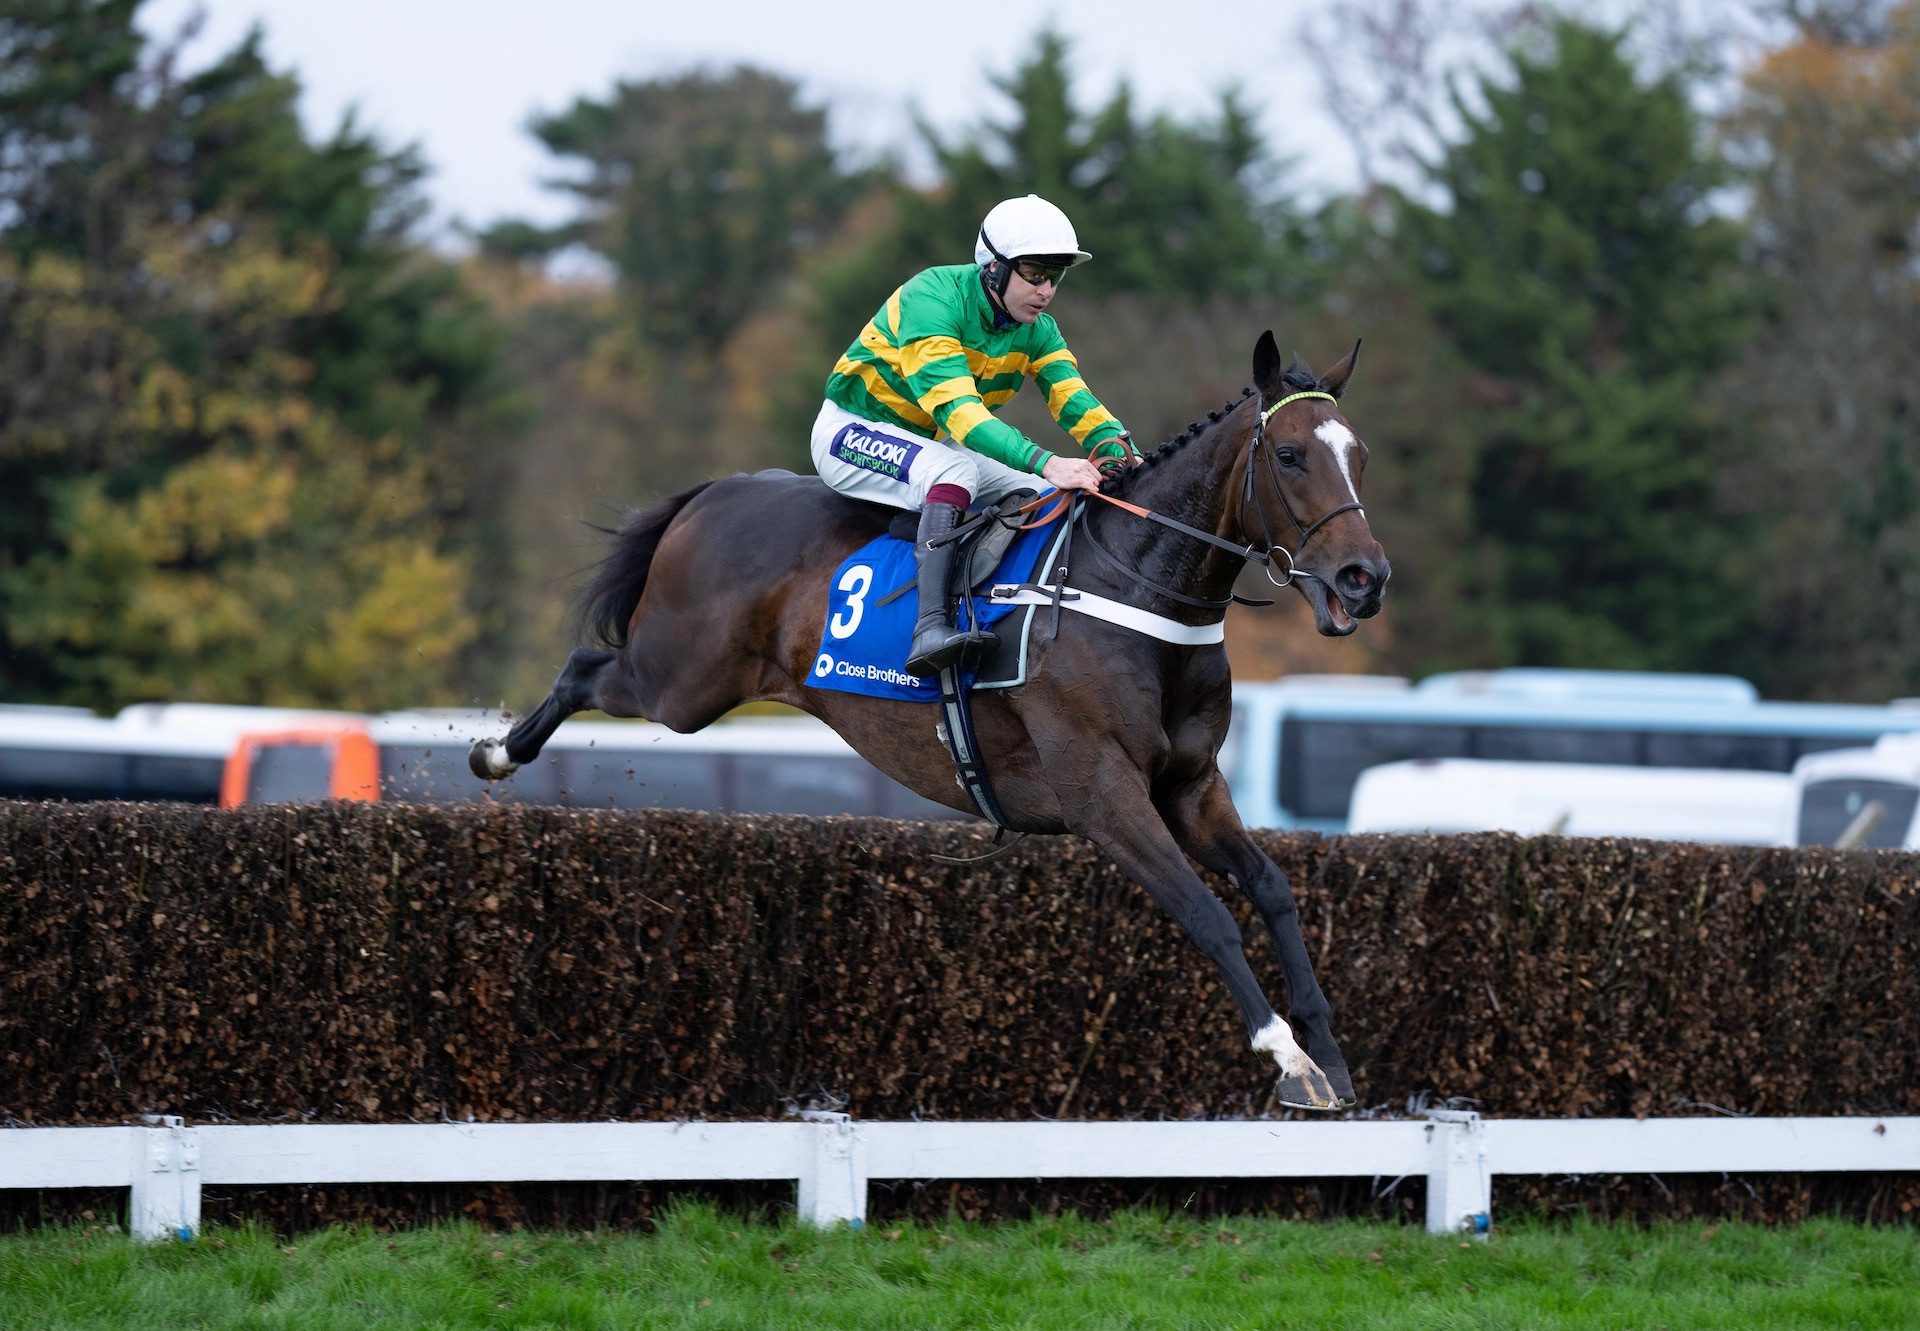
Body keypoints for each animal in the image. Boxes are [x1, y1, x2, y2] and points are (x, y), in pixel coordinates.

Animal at [472, 332, 1390, 1113]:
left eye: (1359, 455)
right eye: (1290, 454)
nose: (1363, 576)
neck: (1134, 589)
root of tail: (718, 489)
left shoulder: (1191, 787)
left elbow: (1271, 890)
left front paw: (1329, 1052)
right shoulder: (1102, 795)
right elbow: (1208, 914)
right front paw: (1287, 1056)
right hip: (679, 680)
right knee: (586, 667)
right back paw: (494, 752)